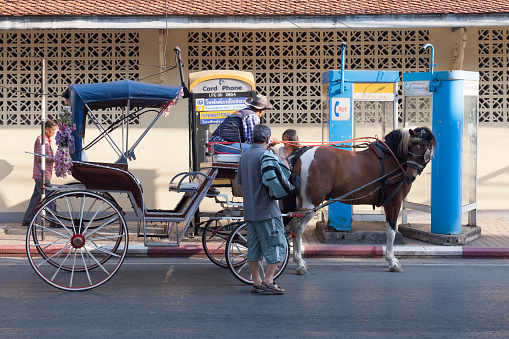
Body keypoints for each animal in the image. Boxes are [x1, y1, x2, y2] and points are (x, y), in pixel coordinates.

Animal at [292, 127, 434, 274]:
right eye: (411, 147)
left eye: (425, 148)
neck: (394, 159)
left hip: (302, 202)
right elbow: (391, 232)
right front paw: (392, 261)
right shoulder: (394, 202)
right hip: (311, 204)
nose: (409, 176)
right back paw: (300, 263)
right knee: (298, 229)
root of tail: (301, 154)